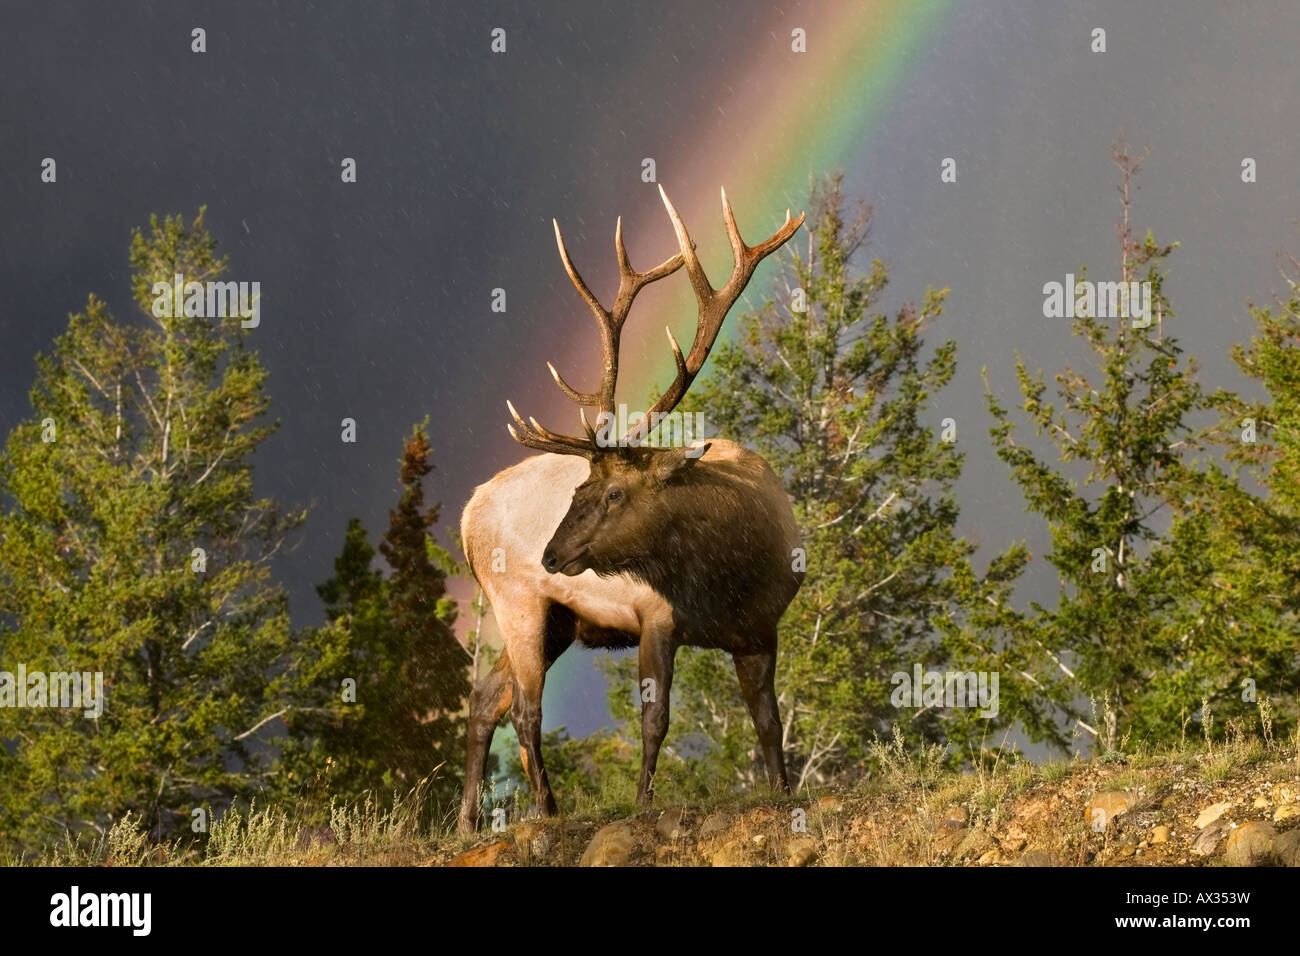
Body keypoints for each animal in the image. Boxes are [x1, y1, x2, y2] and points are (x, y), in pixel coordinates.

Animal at [457, 185, 805, 833]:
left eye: (614, 493)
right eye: (579, 491)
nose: (550, 554)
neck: (730, 573)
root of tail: (466, 517)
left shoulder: (760, 630)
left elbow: (768, 721)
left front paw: (783, 790)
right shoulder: (655, 617)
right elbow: (655, 719)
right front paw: (643, 801)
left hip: (560, 620)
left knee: (486, 698)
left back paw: (466, 821)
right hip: (516, 600)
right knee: (524, 708)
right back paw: (546, 808)